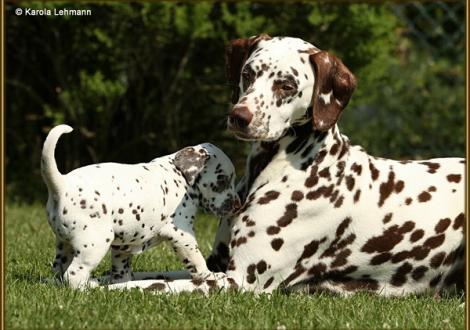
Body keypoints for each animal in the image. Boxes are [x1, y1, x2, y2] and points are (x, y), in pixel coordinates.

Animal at [41, 124, 239, 288]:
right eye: (222, 180)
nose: (238, 205)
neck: (179, 176)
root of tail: (61, 184)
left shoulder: (122, 245)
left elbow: (121, 270)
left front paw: (121, 283)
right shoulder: (182, 234)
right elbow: (196, 260)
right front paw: (211, 276)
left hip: (64, 245)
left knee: (59, 272)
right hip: (94, 244)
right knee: (73, 275)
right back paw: (90, 289)